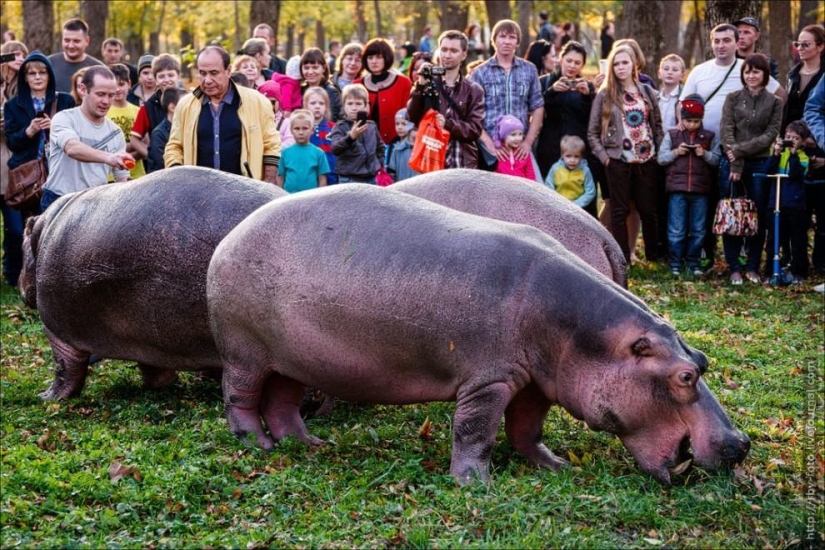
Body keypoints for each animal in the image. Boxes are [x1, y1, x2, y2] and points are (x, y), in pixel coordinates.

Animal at [20, 166, 286, 400]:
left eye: (23, 242)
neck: (42, 232)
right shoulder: (143, 334)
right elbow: (151, 365)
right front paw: (162, 385)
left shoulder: (56, 328)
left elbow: (65, 367)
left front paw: (47, 398)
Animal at [207, 184, 749, 485]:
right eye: (684, 377)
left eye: (702, 360)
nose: (740, 443)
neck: (579, 328)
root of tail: (233, 234)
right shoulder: (489, 380)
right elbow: (475, 431)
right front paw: (476, 486)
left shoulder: (534, 381)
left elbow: (527, 429)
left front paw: (556, 466)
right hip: (245, 352)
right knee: (240, 397)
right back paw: (257, 445)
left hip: (293, 356)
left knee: (283, 402)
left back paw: (310, 445)